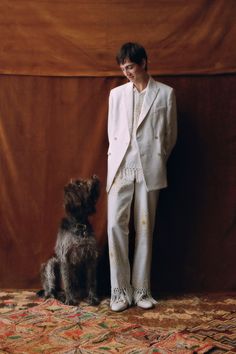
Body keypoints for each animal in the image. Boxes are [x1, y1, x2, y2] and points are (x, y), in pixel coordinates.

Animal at [38, 174, 100, 304]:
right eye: (80, 184)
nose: (95, 176)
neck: (79, 225)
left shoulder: (91, 257)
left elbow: (91, 281)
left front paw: (92, 297)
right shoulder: (65, 258)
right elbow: (68, 282)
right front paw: (70, 299)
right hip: (50, 264)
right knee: (51, 291)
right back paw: (58, 296)